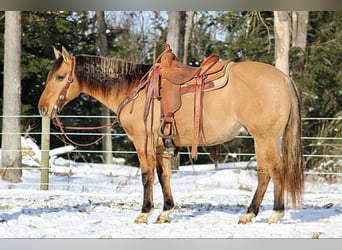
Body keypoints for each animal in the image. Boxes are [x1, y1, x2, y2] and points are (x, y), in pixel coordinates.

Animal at [38, 45, 304, 225]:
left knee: (272, 170)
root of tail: (283, 78)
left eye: (60, 77)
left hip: (264, 138)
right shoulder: (161, 146)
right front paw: (165, 211)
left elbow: (146, 176)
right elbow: (163, 176)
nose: (42, 108)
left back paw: (269, 213)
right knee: (268, 172)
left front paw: (144, 213)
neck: (134, 89)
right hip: (266, 139)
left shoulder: (142, 143)